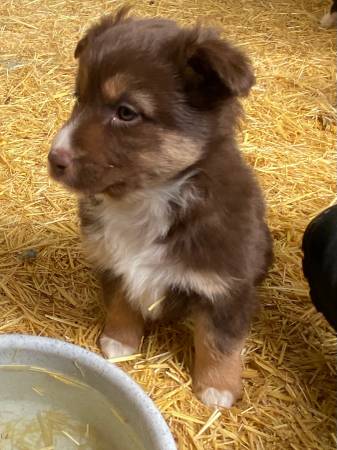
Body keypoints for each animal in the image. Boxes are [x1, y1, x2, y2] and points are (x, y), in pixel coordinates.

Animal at [48, 7, 272, 408]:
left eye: (126, 112)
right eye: (78, 97)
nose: (54, 159)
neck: (146, 199)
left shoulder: (226, 285)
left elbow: (219, 341)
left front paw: (217, 389)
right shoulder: (116, 264)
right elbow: (122, 302)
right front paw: (119, 342)